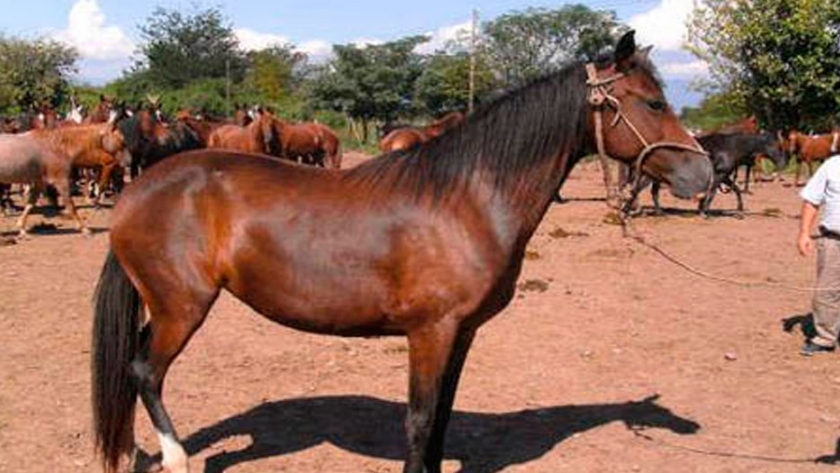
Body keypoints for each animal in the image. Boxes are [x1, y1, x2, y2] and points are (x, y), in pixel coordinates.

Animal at [0, 123, 129, 235]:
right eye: (122, 141)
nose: (127, 162)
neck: (58, 147)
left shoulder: (39, 183)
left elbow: (30, 204)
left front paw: (21, 228)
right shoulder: (61, 181)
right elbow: (70, 205)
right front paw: (84, 229)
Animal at [90, 31, 712, 473]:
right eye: (652, 102)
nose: (703, 173)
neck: (467, 199)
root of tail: (139, 189)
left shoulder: (461, 333)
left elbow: (440, 422)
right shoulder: (430, 332)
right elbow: (419, 422)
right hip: (182, 307)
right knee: (145, 371)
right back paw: (177, 459)